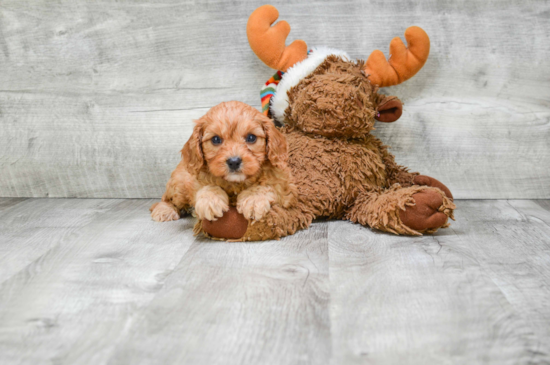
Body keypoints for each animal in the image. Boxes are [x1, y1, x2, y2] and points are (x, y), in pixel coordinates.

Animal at [149, 101, 300, 239]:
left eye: (251, 137)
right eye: (216, 139)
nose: (234, 162)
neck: (236, 184)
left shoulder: (286, 186)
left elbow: (268, 186)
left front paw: (253, 200)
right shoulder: (195, 181)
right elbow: (206, 187)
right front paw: (210, 200)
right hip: (179, 185)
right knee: (167, 199)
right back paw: (164, 210)